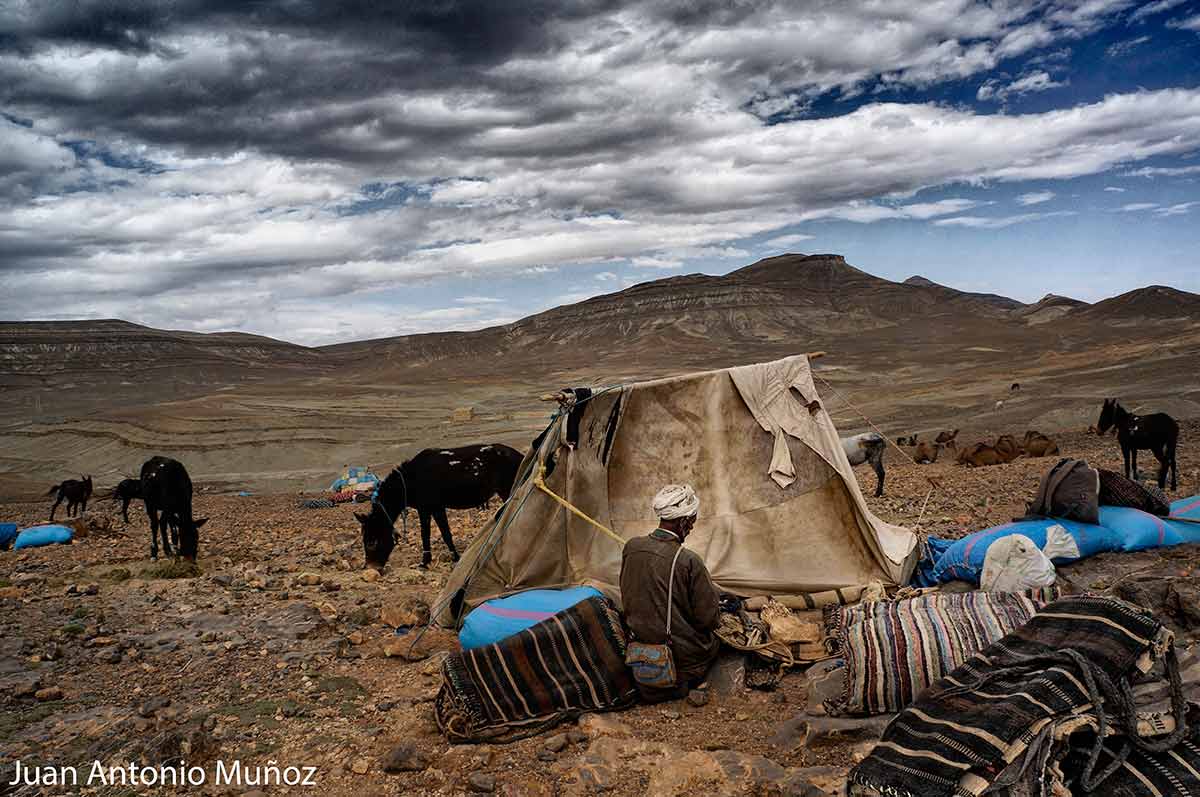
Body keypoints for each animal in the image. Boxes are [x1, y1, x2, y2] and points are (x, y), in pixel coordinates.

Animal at [355, 444, 525, 568]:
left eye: (371, 542)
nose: (371, 568)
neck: (410, 480)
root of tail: (519, 455)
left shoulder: (433, 508)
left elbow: (438, 534)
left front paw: (442, 559)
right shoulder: (428, 510)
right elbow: (433, 534)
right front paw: (434, 560)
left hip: (508, 490)